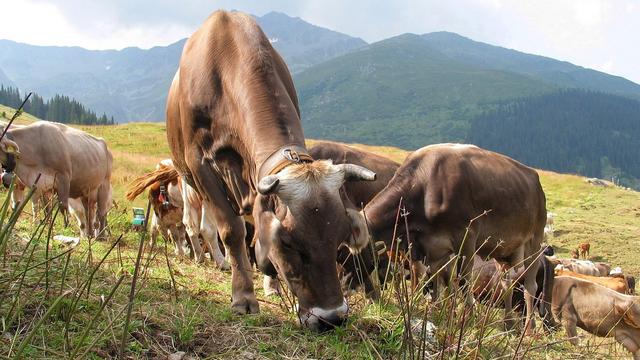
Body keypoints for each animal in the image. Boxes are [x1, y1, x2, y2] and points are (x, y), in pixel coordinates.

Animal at [165, 10, 376, 332]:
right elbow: (232, 230)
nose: (331, 318)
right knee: (198, 225)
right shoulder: (199, 161)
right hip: (187, 179)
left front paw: (270, 284)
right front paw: (243, 297)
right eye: (289, 242)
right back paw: (210, 259)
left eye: (340, 235)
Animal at [364, 142, 544, 334]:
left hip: (534, 241)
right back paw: (508, 324)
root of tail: (534, 175)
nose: (370, 299)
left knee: (530, 286)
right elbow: (436, 281)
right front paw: (437, 313)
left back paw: (529, 329)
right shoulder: (432, 247)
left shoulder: (466, 237)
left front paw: (469, 320)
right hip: (502, 251)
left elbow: (463, 281)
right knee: (506, 284)